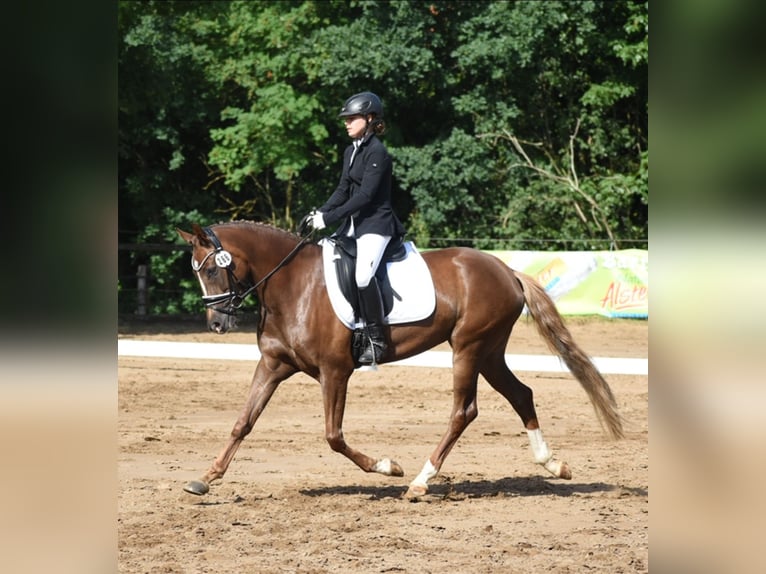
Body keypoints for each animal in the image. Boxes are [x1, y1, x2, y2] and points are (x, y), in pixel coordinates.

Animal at [178, 220, 624, 500]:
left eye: (213, 270)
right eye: (197, 271)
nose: (217, 324)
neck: (292, 286)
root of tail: (506, 270)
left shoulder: (335, 372)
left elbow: (333, 436)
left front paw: (387, 467)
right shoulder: (273, 365)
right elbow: (243, 422)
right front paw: (205, 478)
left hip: (469, 348)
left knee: (464, 411)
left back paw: (420, 482)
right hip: (490, 351)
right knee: (521, 394)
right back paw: (553, 465)